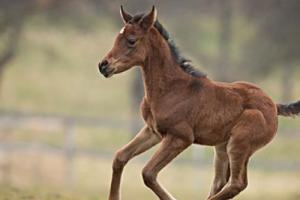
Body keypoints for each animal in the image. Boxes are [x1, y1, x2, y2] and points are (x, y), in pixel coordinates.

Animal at [98, 6, 300, 200]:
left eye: (131, 40)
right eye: (117, 37)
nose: (103, 65)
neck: (171, 89)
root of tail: (274, 106)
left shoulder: (181, 137)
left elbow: (148, 173)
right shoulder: (153, 131)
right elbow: (119, 157)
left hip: (239, 144)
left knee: (237, 183)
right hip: (222, 147)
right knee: (220, 182)